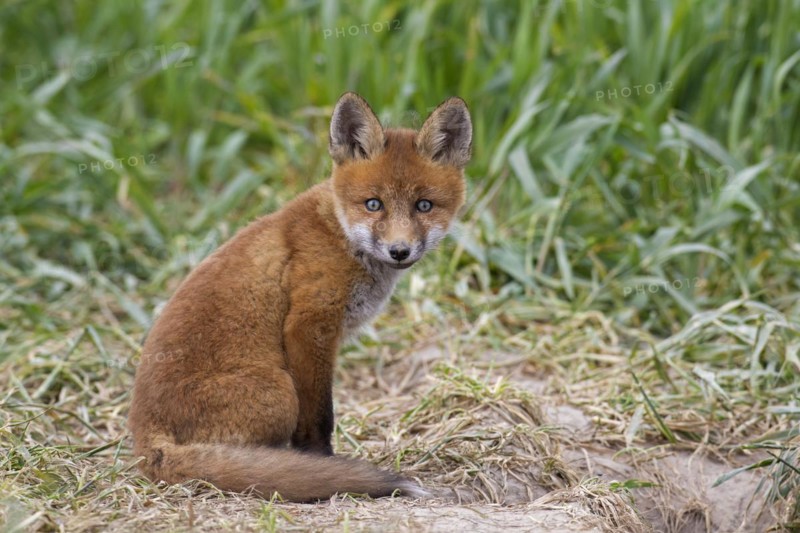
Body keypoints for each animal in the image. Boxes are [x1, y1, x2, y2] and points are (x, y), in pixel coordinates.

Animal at [128, 92, 472, 502]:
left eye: (424, 205)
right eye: (374, 204)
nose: (399, 251)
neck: (340, 235)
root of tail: (144, 440)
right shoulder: (309, 326)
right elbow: (319, 417)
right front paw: (322, 463)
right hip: (280, 392)